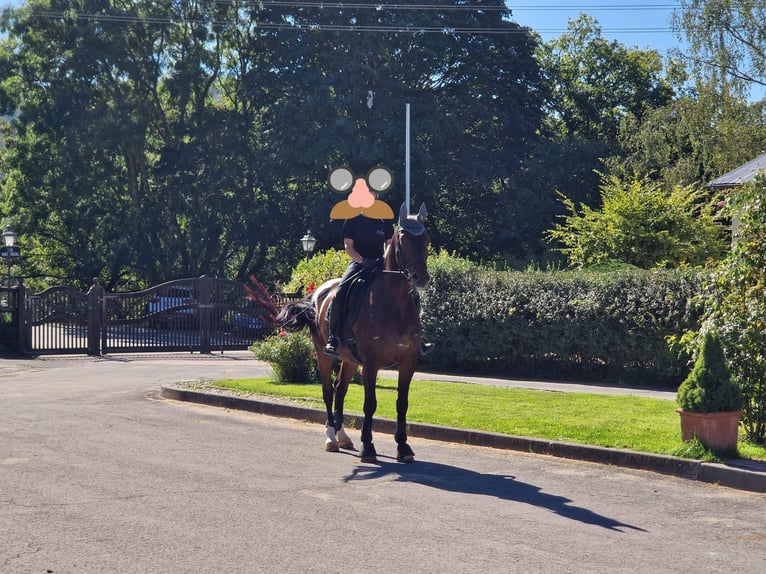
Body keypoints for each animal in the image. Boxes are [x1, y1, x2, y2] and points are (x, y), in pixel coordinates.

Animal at [278, 205, 432, 466]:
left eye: (426, 239)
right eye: (403, 238)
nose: (420, 277)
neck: (394, 304)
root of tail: (317, 293)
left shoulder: (408, 362)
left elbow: (402, 404)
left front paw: (403, 447)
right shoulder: (370, 363)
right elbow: (370, 404)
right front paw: (368, 447)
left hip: (349, 360)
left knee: (340, 389)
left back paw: (342, 436)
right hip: (323, 354)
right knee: (328, 391)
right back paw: (331, 437)